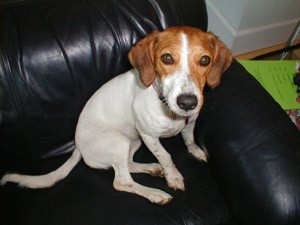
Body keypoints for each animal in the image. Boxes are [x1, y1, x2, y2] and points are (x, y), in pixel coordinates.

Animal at [0, 25, 232, 204]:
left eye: (205, 60)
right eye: (167, 58)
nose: (187, 103)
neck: (167, 107)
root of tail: (78, 146)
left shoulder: (189, 123)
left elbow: (189, 140)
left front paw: (196, 152)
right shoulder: (149, 135)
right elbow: (166, 155)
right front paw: (173, 176)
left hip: (133, 140)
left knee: (127, 165)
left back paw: (151, 168)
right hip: (119, 141)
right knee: (122, 181)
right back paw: (155, 193)